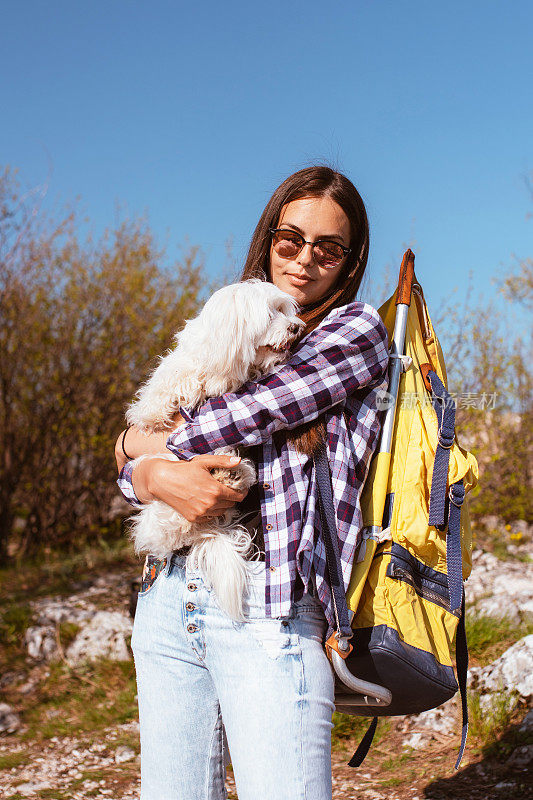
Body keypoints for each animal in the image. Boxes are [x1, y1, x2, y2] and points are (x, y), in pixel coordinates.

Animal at [124, 278, 304, 620]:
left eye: (286, 310)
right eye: (270, 314)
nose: (296, 328)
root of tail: (206, 530)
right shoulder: (186, 365)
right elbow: (169, 381)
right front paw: (151, 413)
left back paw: (229, 475)